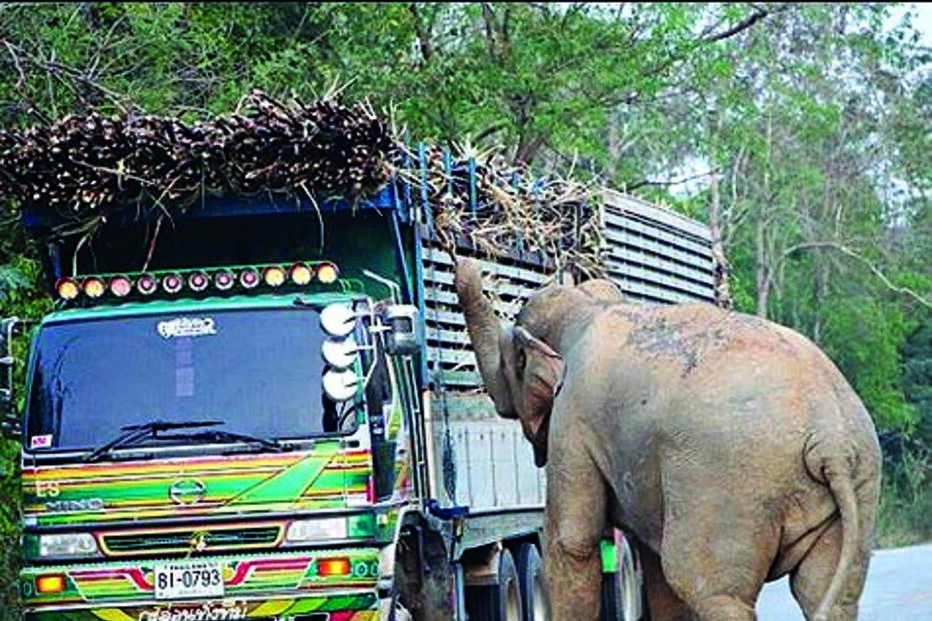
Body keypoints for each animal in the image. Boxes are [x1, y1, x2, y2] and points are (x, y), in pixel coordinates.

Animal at [453, 256, 882, 621]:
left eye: (511, 361)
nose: (467, 260)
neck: (590, 307)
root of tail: (831, 439)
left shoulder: (572, 419)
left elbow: (571, 541)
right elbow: (651, 559)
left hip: (727, 487)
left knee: (705, 586)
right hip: (855, 487)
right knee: (824, 593)